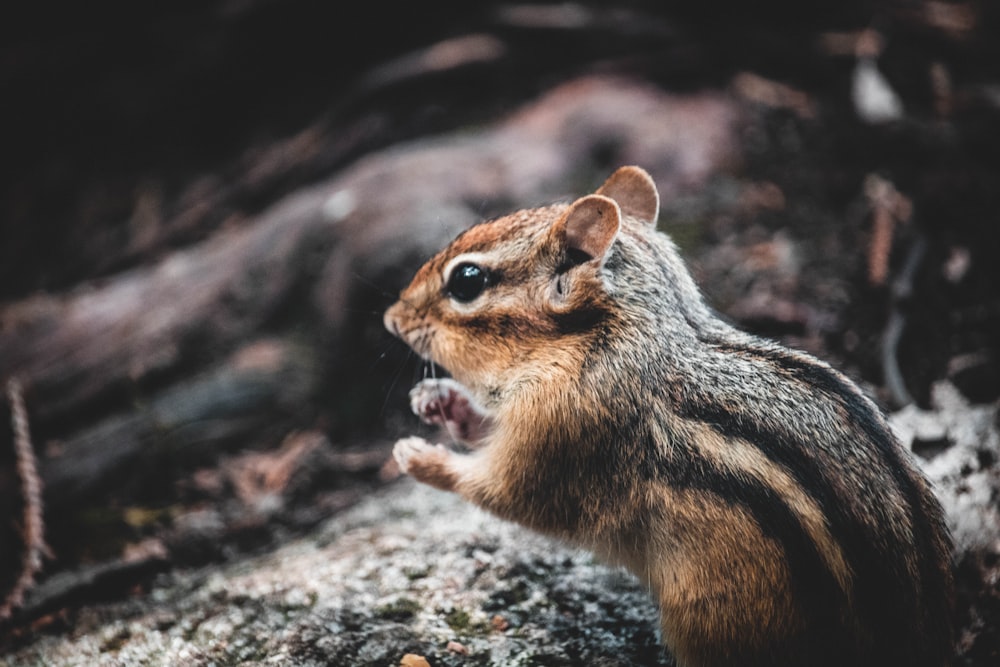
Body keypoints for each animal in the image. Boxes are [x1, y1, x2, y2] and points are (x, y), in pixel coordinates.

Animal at [382, 164, 952, 664]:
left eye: (467, 281)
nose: (392, 317)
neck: (595, 342)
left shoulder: (560, 440)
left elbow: (498, 489)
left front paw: (418, 456)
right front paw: (438, 401)